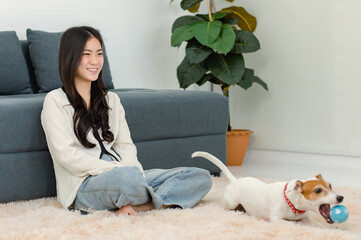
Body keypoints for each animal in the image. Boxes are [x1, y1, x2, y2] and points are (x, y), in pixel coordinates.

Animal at [191, 151, 344, 224]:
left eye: (330, 185)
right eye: (318, 190)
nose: (341, 197)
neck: (291, 202)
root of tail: (236, 180)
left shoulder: (306, 218)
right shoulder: (276, 219)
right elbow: (293, 224)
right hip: (231, 202)